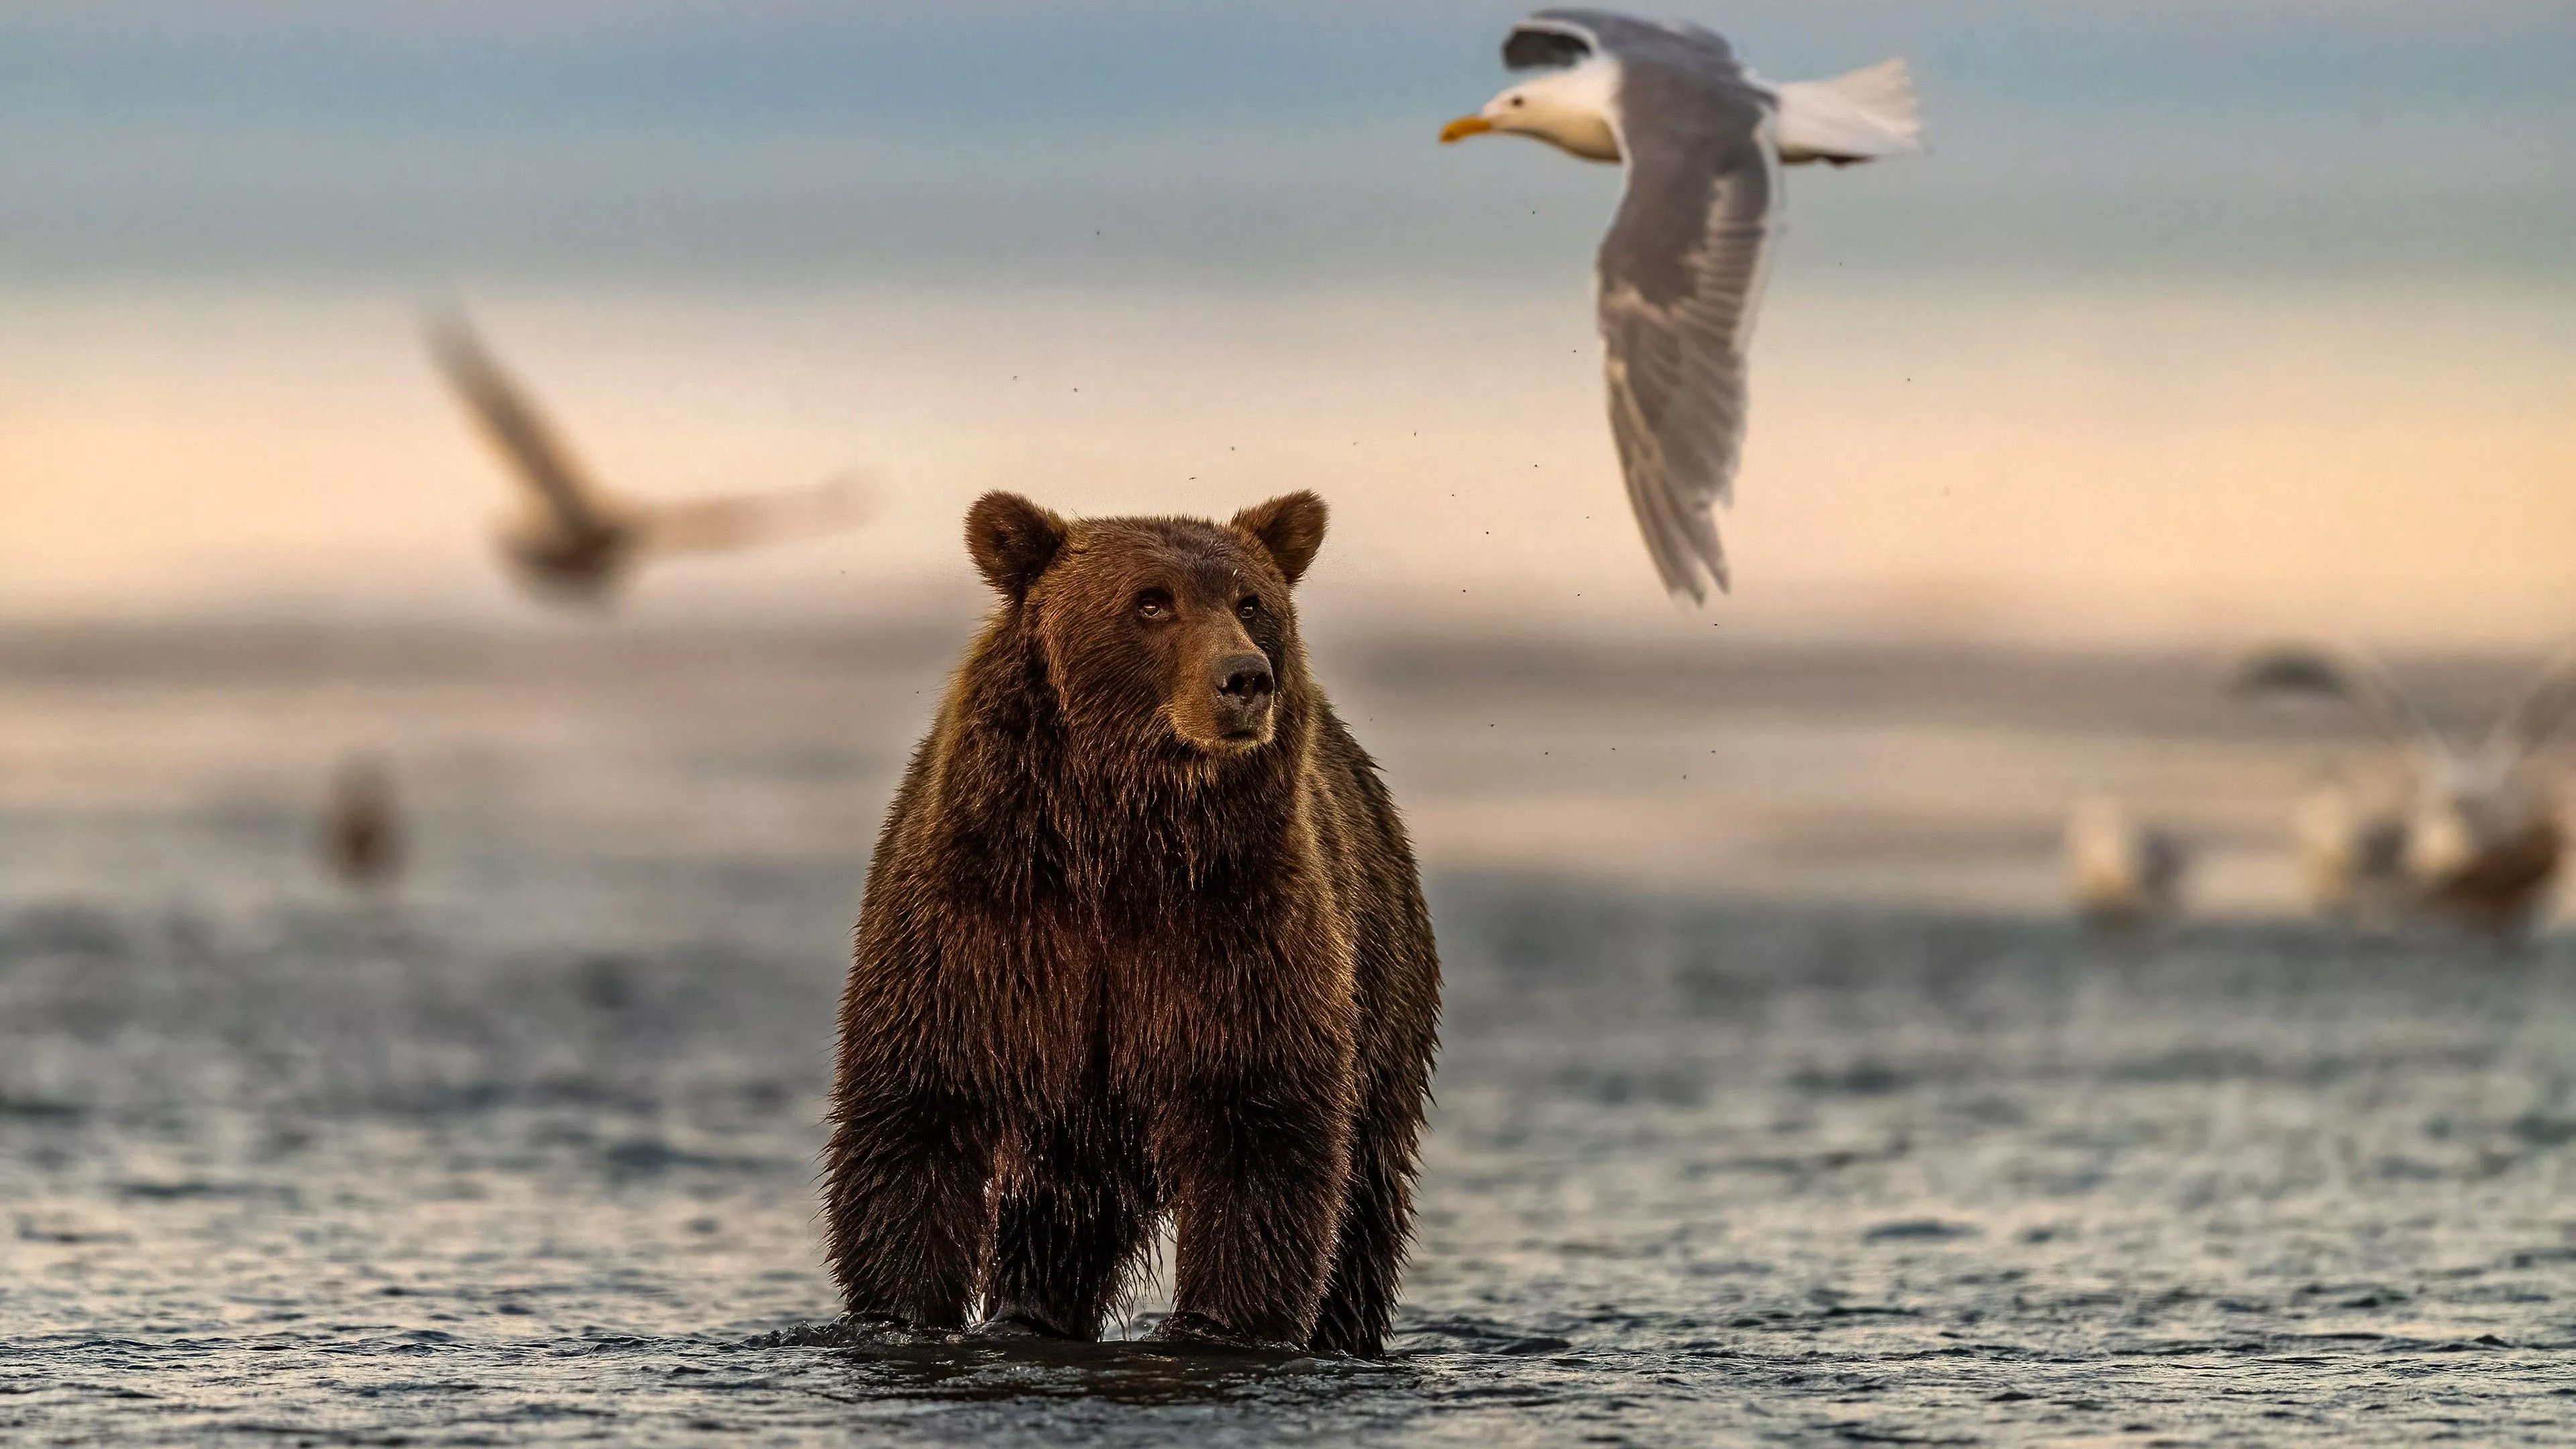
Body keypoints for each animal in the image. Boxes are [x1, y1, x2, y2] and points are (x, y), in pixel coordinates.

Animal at [821, 490, 1441, 1358]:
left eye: (1252, 601)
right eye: (1152, 601)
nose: (1245, 678)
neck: (1118, 844)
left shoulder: (1234, 929)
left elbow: (1261, 1125)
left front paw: (1222, 1324)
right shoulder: (981, 923)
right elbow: (918, 1111)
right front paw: (898, 1313)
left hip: (1383, 987)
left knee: (1365, 1198)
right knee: (1062, 1217)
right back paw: (1031, 1312)